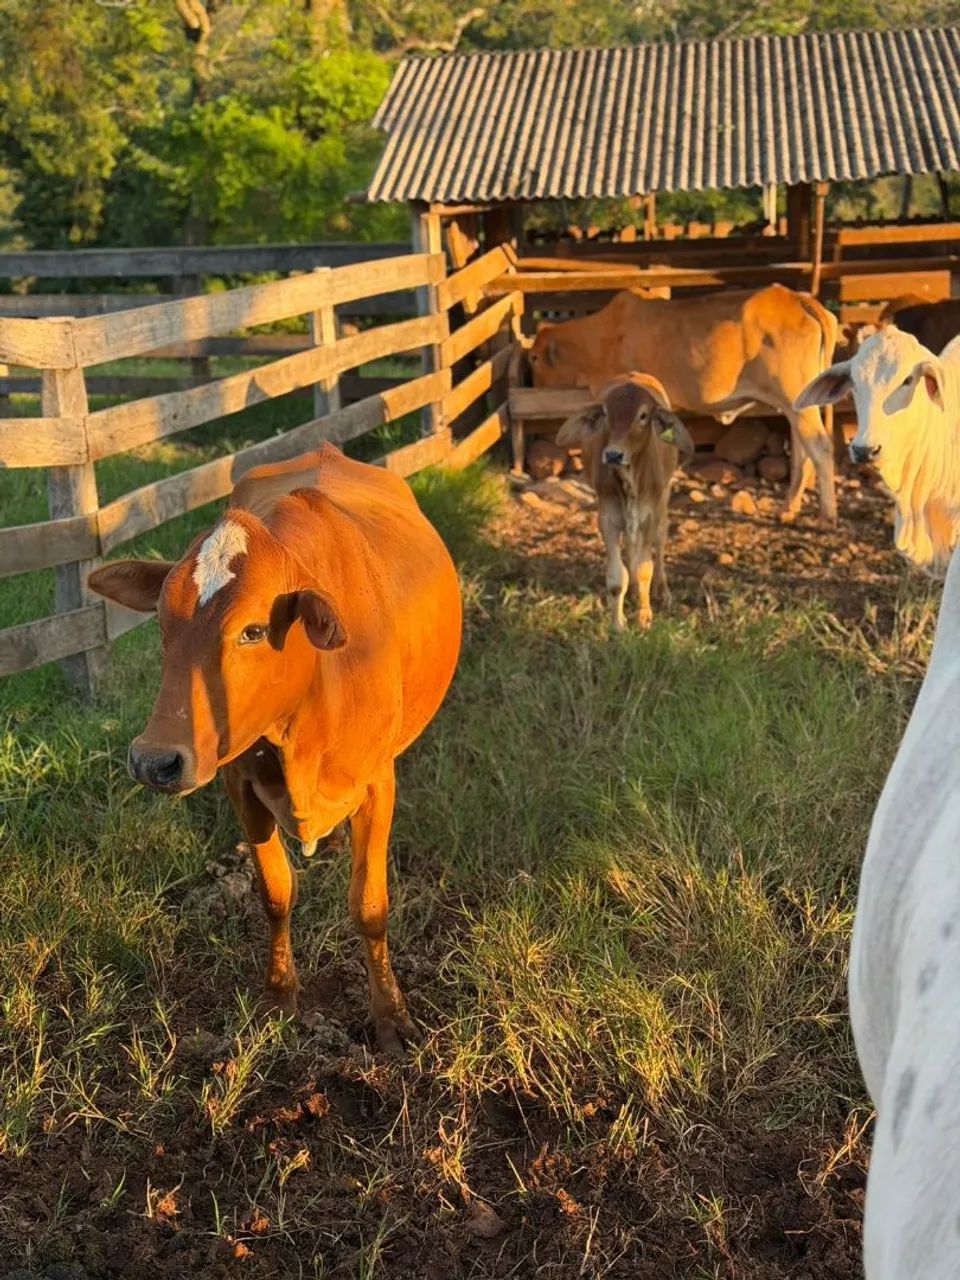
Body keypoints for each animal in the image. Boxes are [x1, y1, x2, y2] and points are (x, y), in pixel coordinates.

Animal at [86, 445, 462, 1054]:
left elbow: (370, 906)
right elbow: (275, 893)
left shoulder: (378, 784)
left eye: (254, 630)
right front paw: (279, 998)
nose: (154, 760)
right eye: (161, 624)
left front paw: (390, 1015)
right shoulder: (240, 786)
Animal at [529, 283, 838, 523]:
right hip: (797, 405)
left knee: (820, 447)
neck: (603, 339)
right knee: (802, 451)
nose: (532, 384)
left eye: (534, 358)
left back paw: (827, 516)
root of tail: (799, 299)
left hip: (795, 400)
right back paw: (788, 508)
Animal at [555, 373, 694, 631]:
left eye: (643, 416)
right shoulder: (607, 518)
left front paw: (645, 616)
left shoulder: (649, 516)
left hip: (663, 498)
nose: (613, 454)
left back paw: (662, 590)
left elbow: (644, 568)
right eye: (605, 414)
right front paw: (618, 623)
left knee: (661, 539)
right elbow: (617, 576)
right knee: (631, 548)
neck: (629, 481)